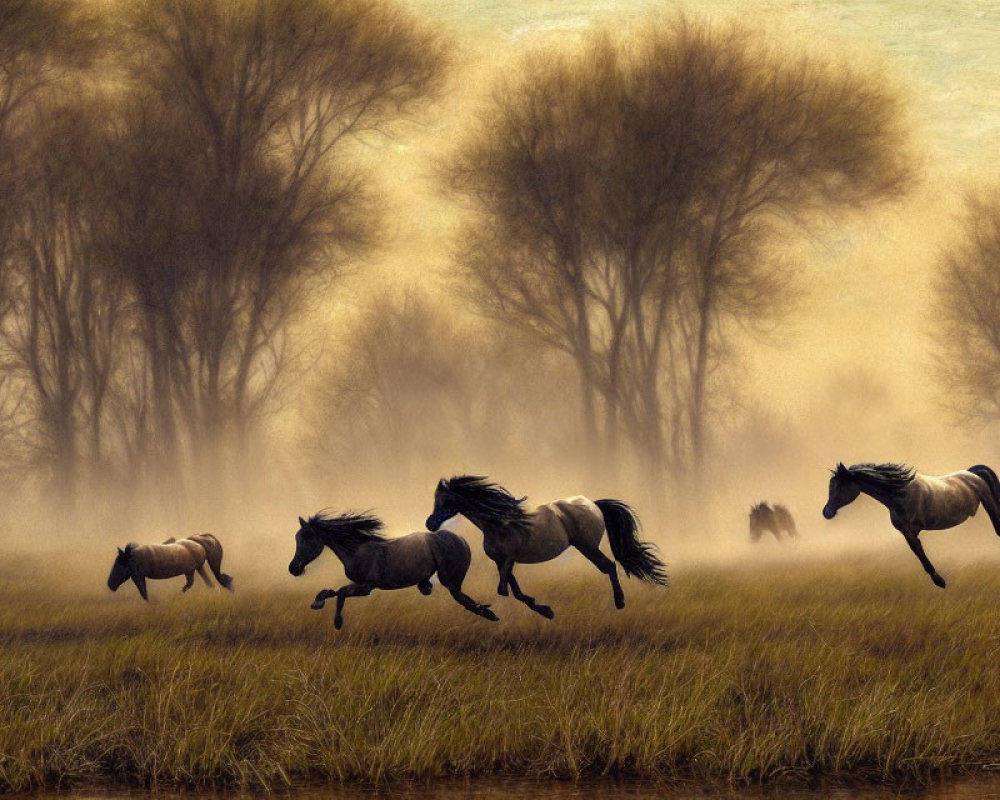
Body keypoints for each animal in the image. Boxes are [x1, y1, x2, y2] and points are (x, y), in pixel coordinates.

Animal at [288, 512, 498, 632]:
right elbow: (332, 591)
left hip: (450, 580)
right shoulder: (361, 586)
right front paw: (317, 602)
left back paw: (490, 614)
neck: (356, 550)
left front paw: (337, 622)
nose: (293, 568)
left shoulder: (366, 587)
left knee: (464, 600)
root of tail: (462, 541)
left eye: (307, 537)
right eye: (297, 537)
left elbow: (340, 593)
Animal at [424, 476, 668, 620]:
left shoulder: (508, 558)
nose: (430, 524)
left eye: (445, 501)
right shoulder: (502, 561)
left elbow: (503, 590)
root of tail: (594, 504)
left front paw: (543, 610)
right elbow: (513, 589)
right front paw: (545, 610)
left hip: (587, 546)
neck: (497, 522)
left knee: (609, 566)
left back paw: (620, 602)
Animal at [820, 462, 1000, 588]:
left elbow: (920, 553)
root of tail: (971, 473)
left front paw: (939, 581)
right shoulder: (907, 533)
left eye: (840, 486)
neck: (900, 494)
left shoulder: (911, 532)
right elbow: (918, 553)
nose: (826, 512)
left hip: (989, 503)